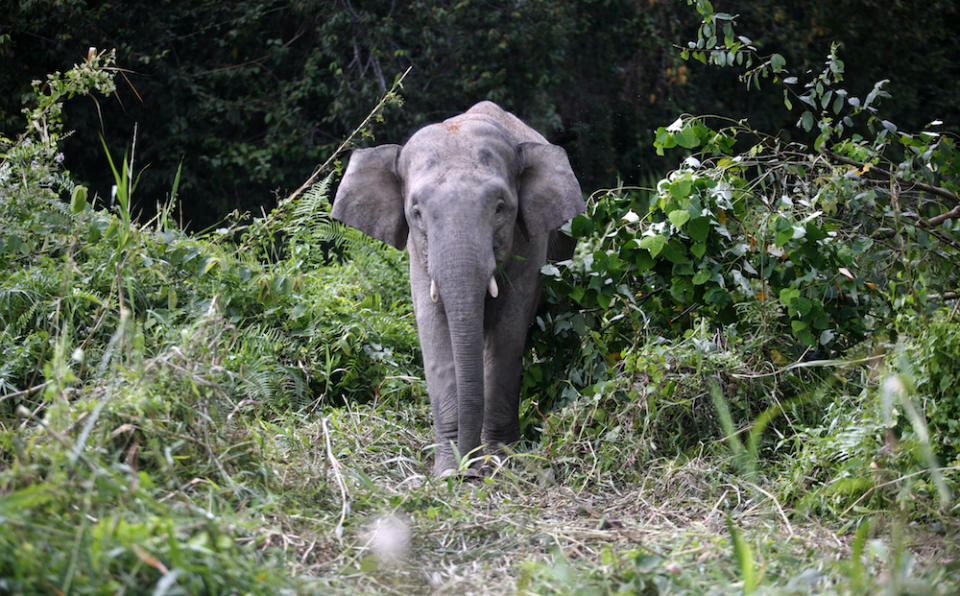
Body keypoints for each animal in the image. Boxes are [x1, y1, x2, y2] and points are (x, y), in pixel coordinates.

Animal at [330, 100, 584, 478]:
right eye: (416, 212)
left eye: (500, 208)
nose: (469, 471)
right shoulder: (418, 253)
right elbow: (433, 329)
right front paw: (449, 472)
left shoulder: (529, 242)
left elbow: (509, 329)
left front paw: (497, 464)